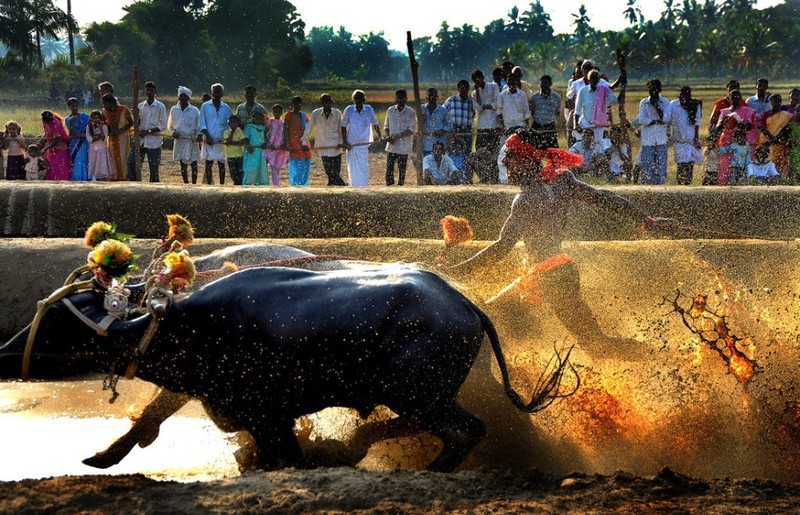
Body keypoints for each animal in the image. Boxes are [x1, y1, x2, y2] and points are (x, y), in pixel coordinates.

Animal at [1, 266, 576, 472]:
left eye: (57, 323)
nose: (4, 352)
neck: (187, 323)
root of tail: (466, 305)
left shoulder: (266, 415)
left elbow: (284, 458)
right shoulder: (205, 391)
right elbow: (150, 418)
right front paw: (102, 457)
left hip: (420, 392)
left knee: (466, 429)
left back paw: (428, 469)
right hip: (414, 394)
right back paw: (358, 444)